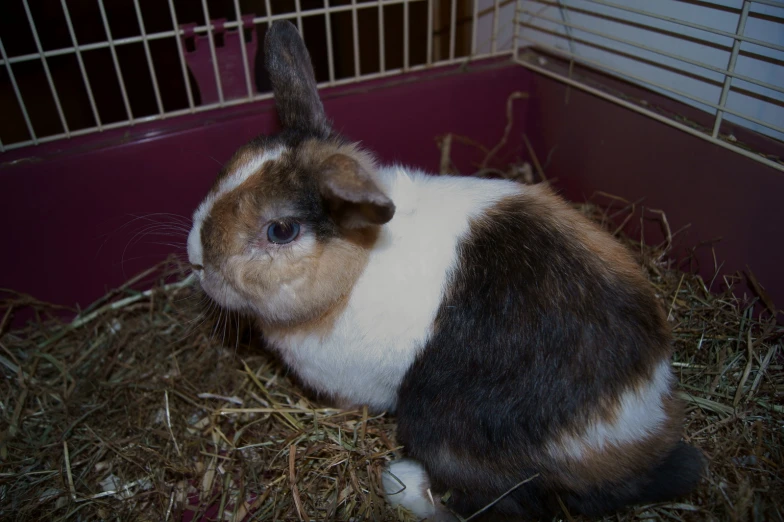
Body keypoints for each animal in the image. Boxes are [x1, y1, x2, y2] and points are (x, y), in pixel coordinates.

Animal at [187, 20, 708, 520]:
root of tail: (633, 425)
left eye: (281, 230)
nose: (196, 258)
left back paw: (401, 483)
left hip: (441, 425)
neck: (355, 269)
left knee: (507, 502)